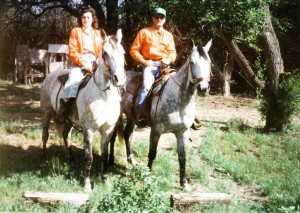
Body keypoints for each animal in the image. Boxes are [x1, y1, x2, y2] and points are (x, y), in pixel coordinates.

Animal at [39, 29, 125, 192]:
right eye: (105, 53)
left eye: (123, 52)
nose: (120, 79)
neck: (103, 96)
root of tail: (51, 75)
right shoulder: (89, 130)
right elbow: (89, 157)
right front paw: (87, 185)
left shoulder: (107, 130)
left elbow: (104, 155)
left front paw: (105, 179)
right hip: (46, 113)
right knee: (45, 135)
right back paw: (44, 159)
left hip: (68, 120)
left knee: (66, 135)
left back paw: (71, 160)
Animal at [111, 39, 212, 191]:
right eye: (192, 62)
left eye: (209, 62)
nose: (203, 88)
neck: (179, 100)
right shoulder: (156, 130)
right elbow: (152, 153)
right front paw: (147, 177)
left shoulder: (183, 132)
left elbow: (182, 157)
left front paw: (184, 183)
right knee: (112, 138)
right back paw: (109, 161)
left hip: (131, 117)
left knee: (128, 134)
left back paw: (132, 160)